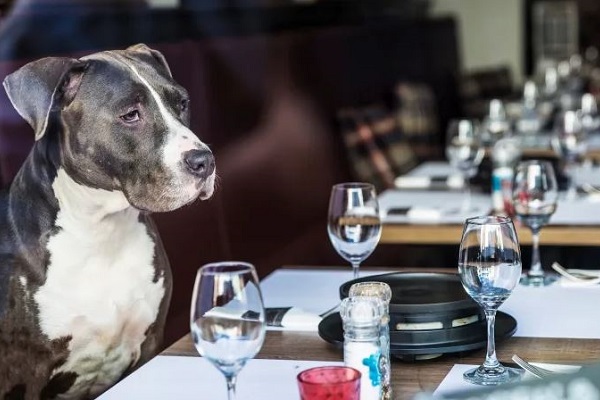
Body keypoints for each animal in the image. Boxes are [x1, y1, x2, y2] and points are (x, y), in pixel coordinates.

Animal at [0, 42, 216, 398]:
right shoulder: (26, 376)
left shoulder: (150, 342)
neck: (100, 234)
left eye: (181, 104)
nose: (205, 161)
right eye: (130, 115)